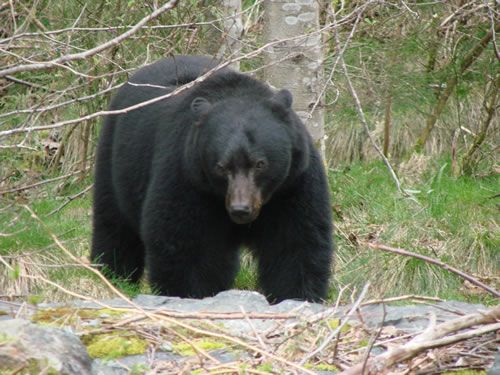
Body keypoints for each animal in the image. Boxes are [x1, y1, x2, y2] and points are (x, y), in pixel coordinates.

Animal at [92, 55, 334, 302]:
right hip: (115, 159)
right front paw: (190, 293)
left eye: (260, 164)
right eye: (221, 167)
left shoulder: (292, 184)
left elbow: (295, 243)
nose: (240, 209)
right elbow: (185, 245)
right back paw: (113, 273)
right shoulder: (187, 176)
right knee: (114, 223)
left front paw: (298, 295)